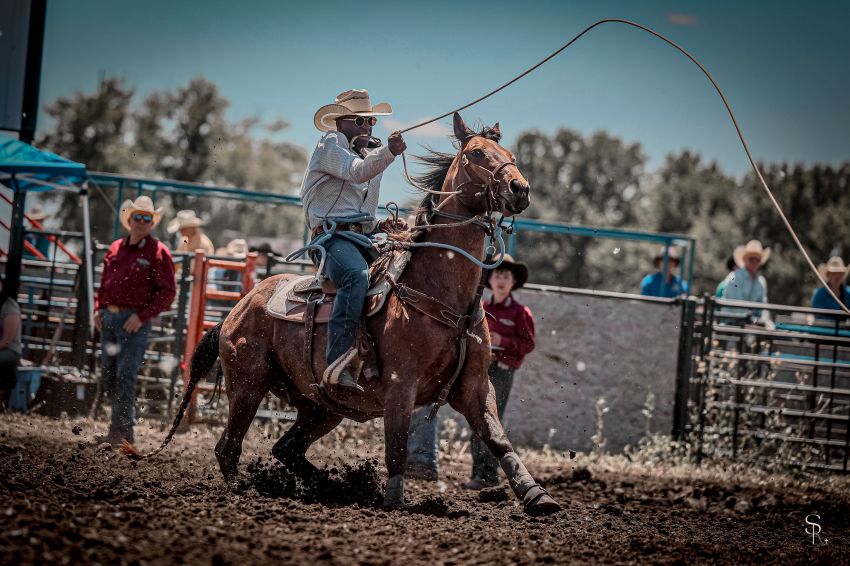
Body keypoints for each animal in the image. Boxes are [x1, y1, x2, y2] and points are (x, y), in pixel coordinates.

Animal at [142, 113, 556, 516]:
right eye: (475, 153)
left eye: (511, 155)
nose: (520, 189)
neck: (441, 291)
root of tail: (235, 311)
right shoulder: (400, 384)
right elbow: (397, 446)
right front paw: (394, 499)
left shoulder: (475, 387)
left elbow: (498, 440)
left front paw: (536, 495)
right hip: (247, 385)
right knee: (228, 447)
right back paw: (244, 490)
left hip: (322, 405)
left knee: (286, 448)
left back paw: (329, 486)